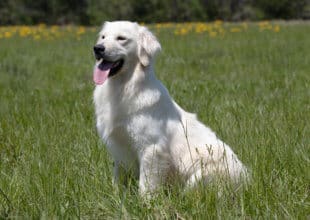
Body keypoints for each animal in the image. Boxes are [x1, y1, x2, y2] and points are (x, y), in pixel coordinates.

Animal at [92, 21, 247, 194]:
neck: (123, 88)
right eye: (103, 37)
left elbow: (146, 185)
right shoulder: (119, 149)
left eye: (121, 38)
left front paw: (144, 200)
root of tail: (247, 179)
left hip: (200, 174)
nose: (97, 48)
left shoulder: (151, 148)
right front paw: (115, 195)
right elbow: (117, 178)